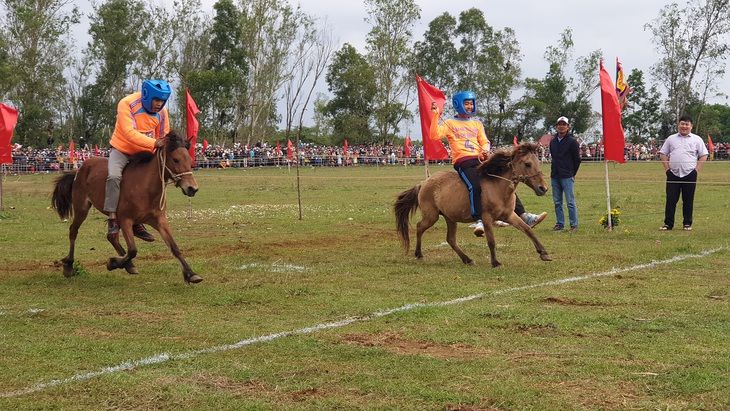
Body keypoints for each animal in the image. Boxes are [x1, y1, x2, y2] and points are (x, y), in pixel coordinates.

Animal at [50, 131, 202, 284]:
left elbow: (174, 246)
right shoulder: (125, 220)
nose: (192, 188)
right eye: (176, 159)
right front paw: (113, 263)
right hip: (81, 209)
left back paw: (129, 265)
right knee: (73, 231)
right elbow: (133, 250)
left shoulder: (159, 220)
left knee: (112, 237)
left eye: (190, 160)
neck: (145, 188)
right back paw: (69, 265)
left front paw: (191, 274)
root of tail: (80, 168)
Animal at [396, 143, 548, 268]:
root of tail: (423, 183)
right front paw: (495, 262)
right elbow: (491, 241)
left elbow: (527, 230)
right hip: (431, 216)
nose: (543, 188)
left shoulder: (509, 215)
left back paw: (467, 259)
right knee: (420, 227)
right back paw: (419, 254)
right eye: (527, 164)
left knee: (450, 239)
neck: (497, 187)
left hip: (450, 218)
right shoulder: (486, 218)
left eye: (538, 162)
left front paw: (544, 252)